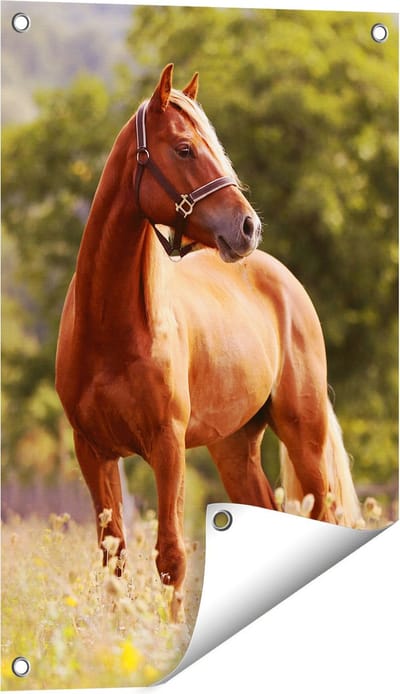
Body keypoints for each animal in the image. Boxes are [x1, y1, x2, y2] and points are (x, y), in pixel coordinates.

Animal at [56, 64, 361, 621]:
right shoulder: (93, 451)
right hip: (234, 445)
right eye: (183, 149)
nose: (248, 227)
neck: (111, 327)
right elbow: (114, 559)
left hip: (303, 433)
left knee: (323, 515)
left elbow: (171, 555)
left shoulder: (167, 445)